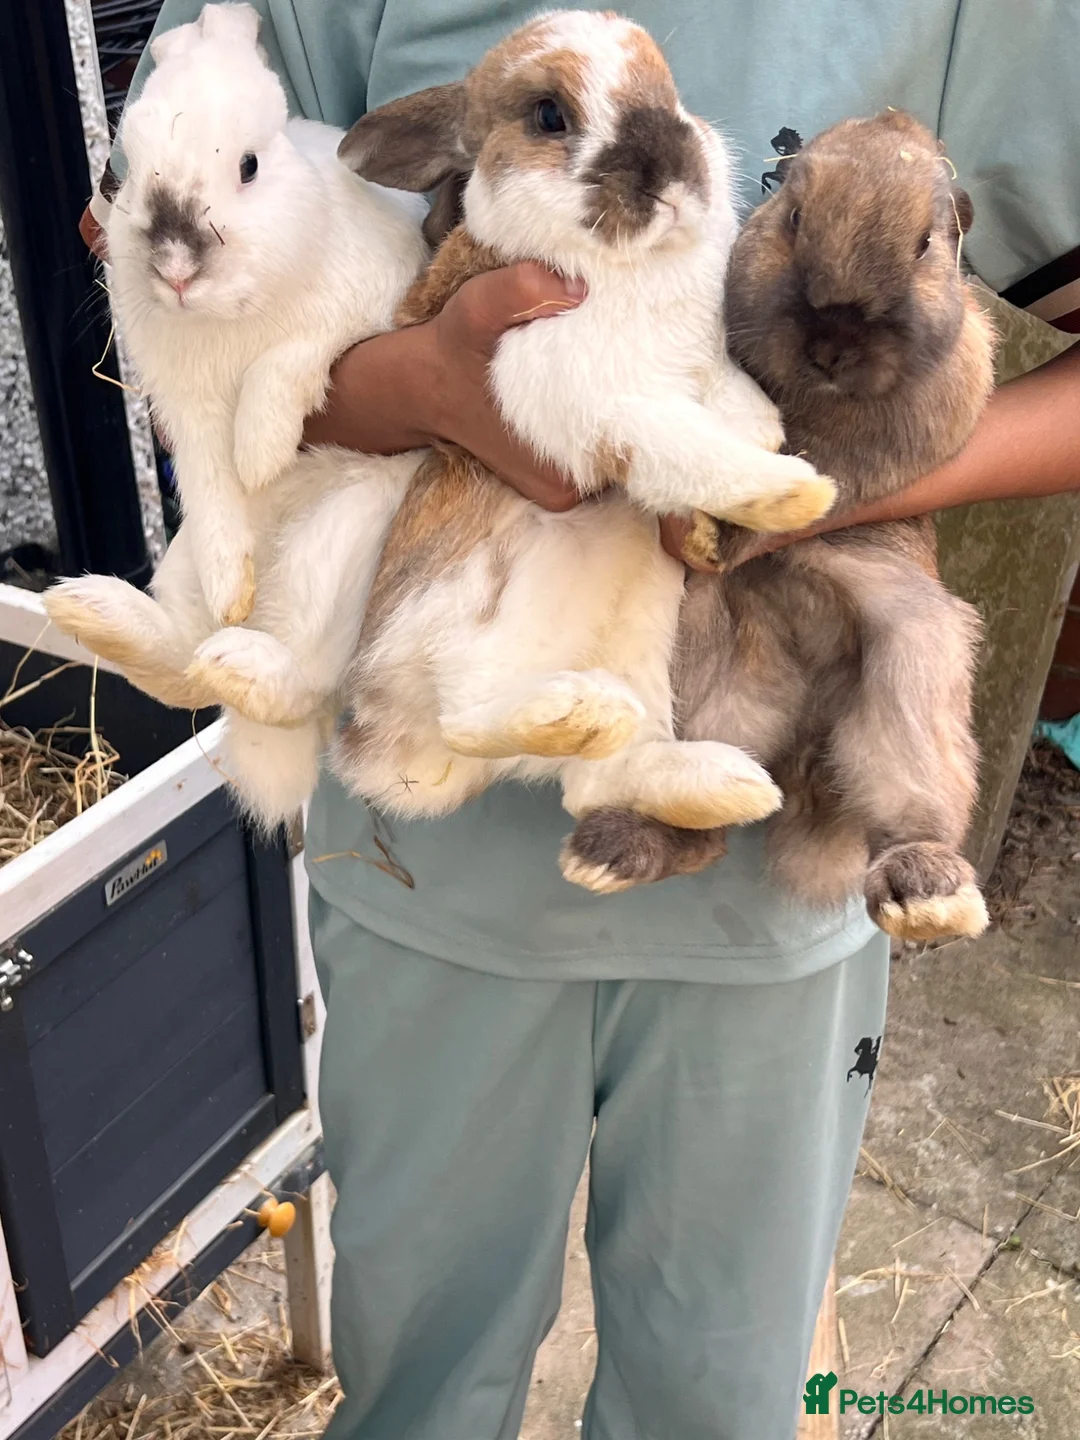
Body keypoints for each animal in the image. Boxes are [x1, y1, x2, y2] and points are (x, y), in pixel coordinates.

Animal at [44, 1, 430, 828]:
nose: (175, 267)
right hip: (179, 562)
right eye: (125, 170)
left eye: (249, 166)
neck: (233, 315)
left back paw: (240, 659)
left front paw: (261, 449)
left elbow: (283, 367)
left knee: (301, 683)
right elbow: (216, 491)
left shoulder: (359, 321)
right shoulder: (187, 418)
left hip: (342, 549)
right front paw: (233, 575)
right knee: (183, 664)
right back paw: (102, 611)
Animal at [327, 9, 839, 836]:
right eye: (549, 116)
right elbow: (671, 435)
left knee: (595, 782)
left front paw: (754, 445)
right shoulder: (569, 384)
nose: (672, 163)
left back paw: (726, 784)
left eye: (669, 90)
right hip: (451, 608)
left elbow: (726, 398)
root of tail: (389, 749)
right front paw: (786, 489)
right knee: (465, 712)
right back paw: (575, 711)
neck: (633, 266)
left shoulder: (701, 362)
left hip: (643, 630)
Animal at [560, 111, 998, 944]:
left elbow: (814, 480)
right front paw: (703, 525)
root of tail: (805, 742)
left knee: (911, 796)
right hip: (703, 667)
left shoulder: (872, 459)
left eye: (926, 244)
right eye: (794, 218)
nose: (834, 340)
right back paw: (612, 851)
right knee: (706, 825)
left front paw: (720, 530)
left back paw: (928, 896)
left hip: (914, 657)